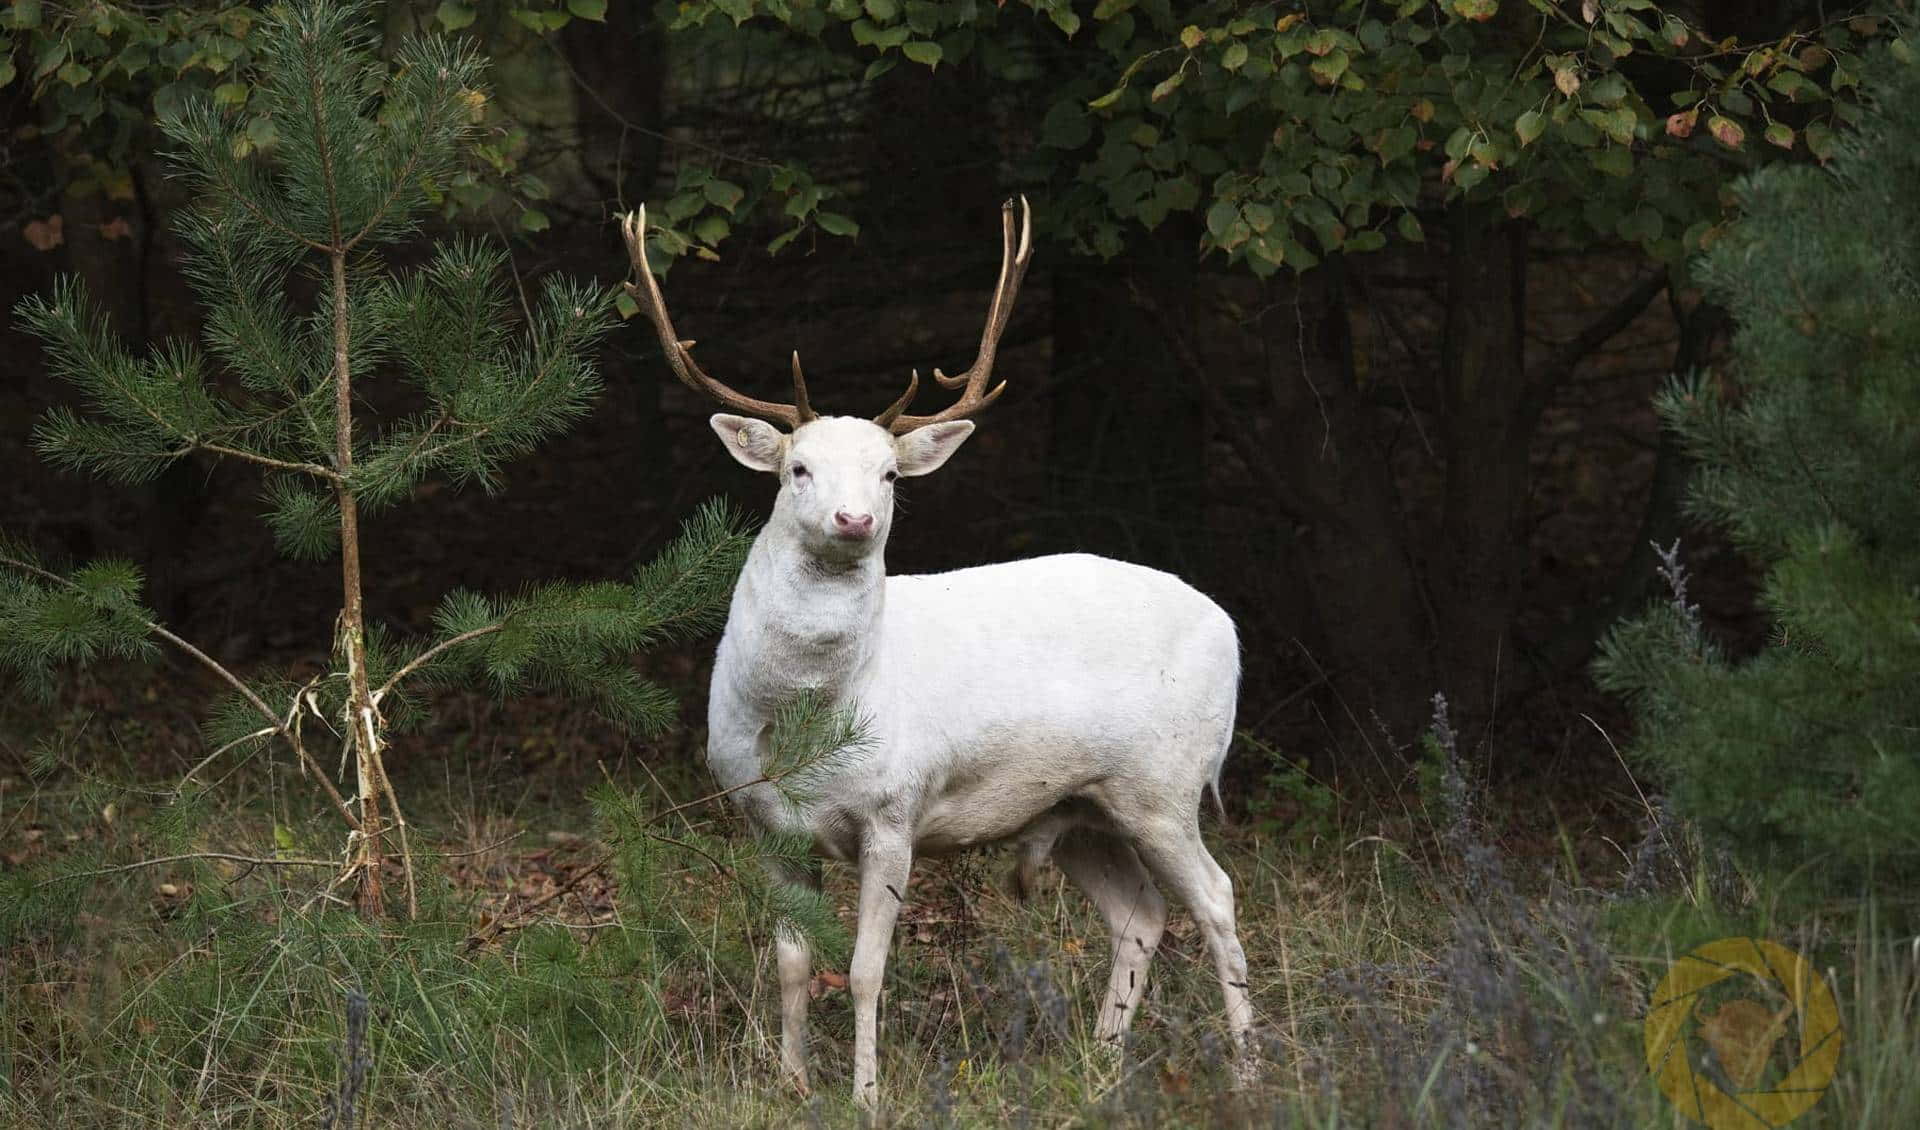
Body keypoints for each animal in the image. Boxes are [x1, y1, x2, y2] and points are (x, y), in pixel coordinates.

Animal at [618, 198, 1259, 1105]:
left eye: (889, 474)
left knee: (1217, 897)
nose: (855, 520)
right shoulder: (763, 823)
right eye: (797, 469)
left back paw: (1248, 1066)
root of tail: (1228, 628)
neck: (807, 723)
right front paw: (792, 1084)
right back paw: (1102, 1061)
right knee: (1141, 913)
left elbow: (864, 971)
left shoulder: (896, 811)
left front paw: (866, 1096)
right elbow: (790, 963)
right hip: (1082, 806)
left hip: (1165, 781)